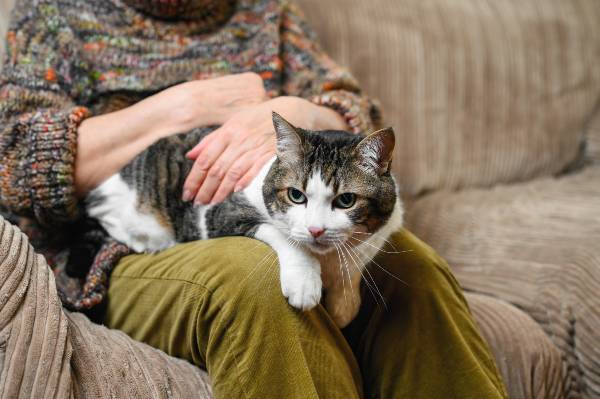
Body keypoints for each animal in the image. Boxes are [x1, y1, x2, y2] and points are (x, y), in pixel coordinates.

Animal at [85, 112, 404, 328]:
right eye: (296, 195)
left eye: (346, 200)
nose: (315, 229)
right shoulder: (220, 213)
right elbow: (283, 234)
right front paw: (304, 281)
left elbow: (352, 271)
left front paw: (343, 305)